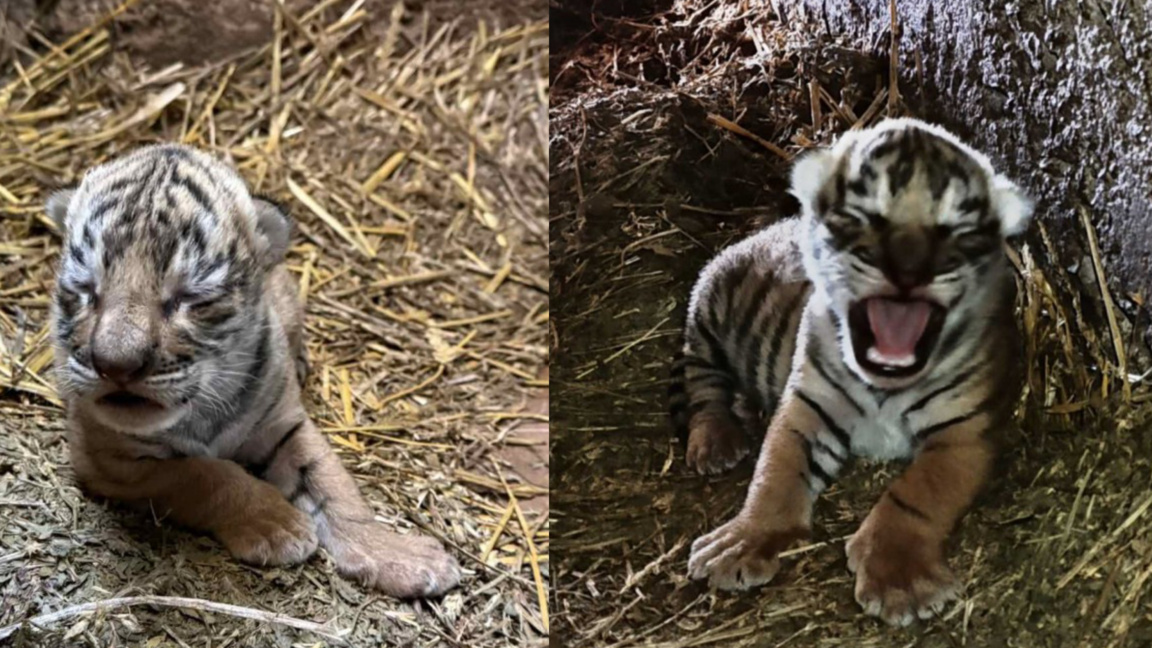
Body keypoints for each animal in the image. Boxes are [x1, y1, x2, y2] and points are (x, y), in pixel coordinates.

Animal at [47, 144, 461, 599]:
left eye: (192, 297)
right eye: (85, 290)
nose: (114, 364)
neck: (203, 408)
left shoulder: (286, 425)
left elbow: (336, 487)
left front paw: (398, 555)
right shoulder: (106, 455)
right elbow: (203, 473)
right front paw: (278, 525)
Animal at [668, 118, 1032, 625]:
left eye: (956, 230)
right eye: (861, 217)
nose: (908, 268)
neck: (886, 384)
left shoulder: (963, 432)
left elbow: (915, 494)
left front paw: (900, 581)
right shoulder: (806, 406)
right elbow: (775, 472)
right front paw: (739, 543)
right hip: (705, 306)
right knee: (701, 382)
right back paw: (715, 441)